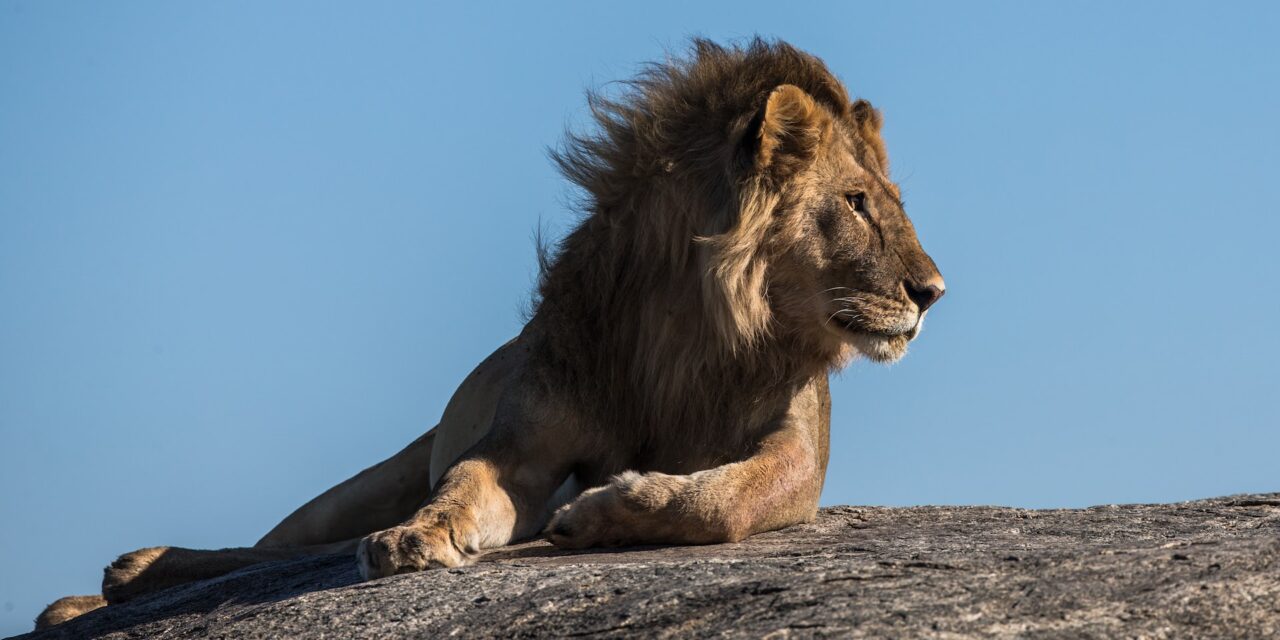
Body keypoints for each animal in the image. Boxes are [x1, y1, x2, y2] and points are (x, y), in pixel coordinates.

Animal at [37, 38, 944, 630]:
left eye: (889, 201)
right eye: (858, 203)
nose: (933, 292)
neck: (691, 335)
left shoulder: (798, 455)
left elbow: (724, 499)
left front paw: (608, 509)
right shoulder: (522, 446)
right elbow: (467, 482)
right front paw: (419, 536)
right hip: (366, 481)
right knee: (273, 549)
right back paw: (117, 580)